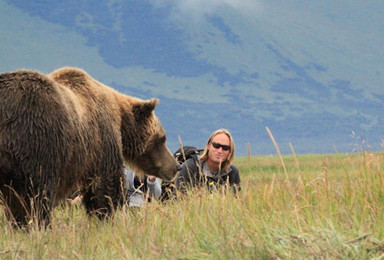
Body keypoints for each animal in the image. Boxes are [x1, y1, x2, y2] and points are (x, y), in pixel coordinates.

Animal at [0, 67, 180, 228]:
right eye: (162, 139)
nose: (176, 166)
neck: (121, 121)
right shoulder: (102, 139)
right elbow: (105, 185)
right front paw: (104, 217)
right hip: (37, 139)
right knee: (36, 197)